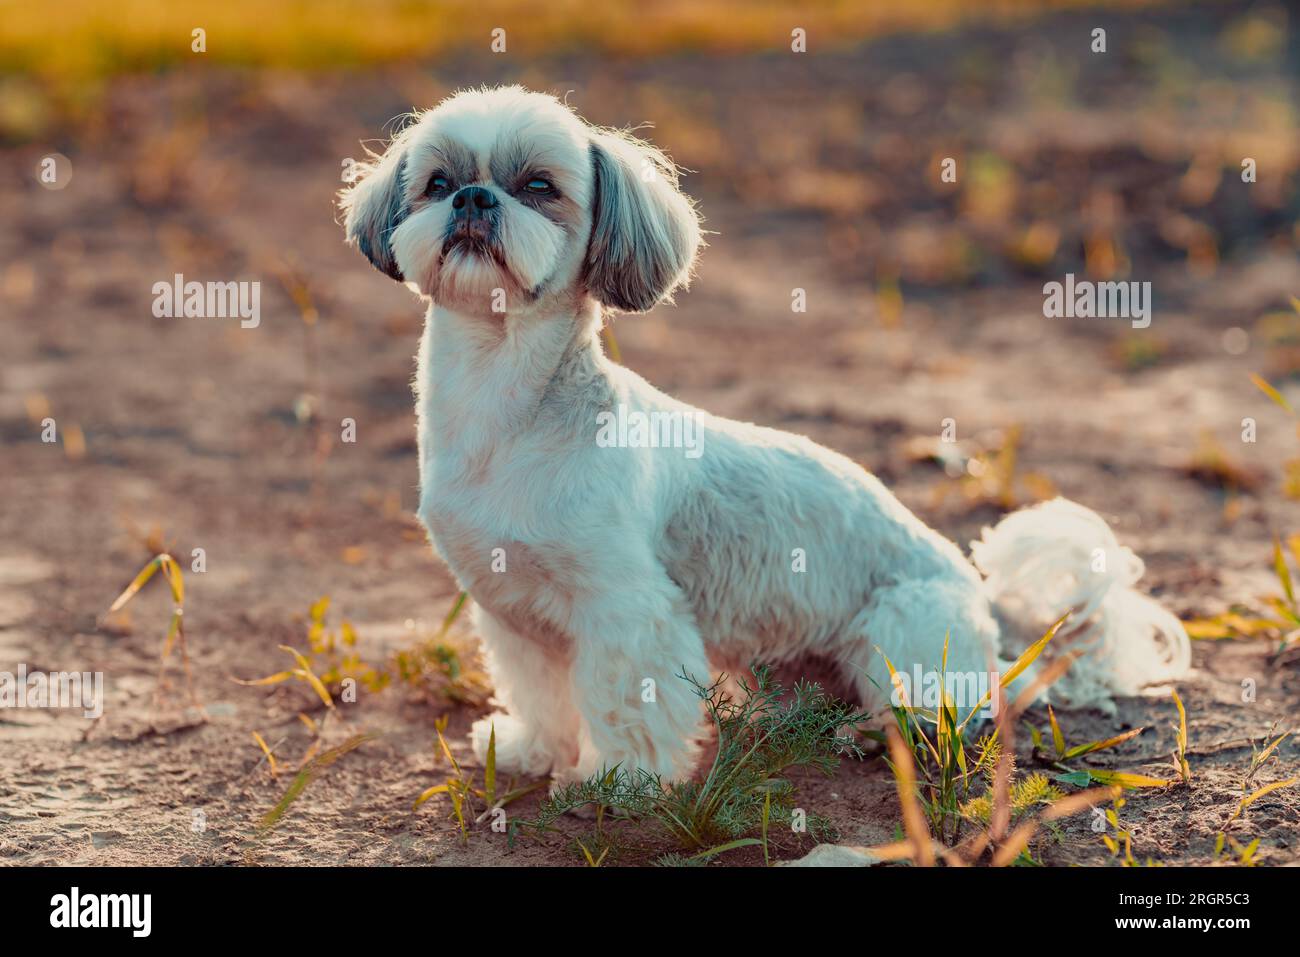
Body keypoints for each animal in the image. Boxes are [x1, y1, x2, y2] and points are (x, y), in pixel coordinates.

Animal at [340, 83, 1190, 785]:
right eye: (438, 182)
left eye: (539, 187)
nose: (474, 198)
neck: (505, 405)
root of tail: (988, 612)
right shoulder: (511, 608)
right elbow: (543, 693)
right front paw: (532, 751)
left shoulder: (627, 608)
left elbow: (626, 699)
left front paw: (622, 780)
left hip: (903, 628)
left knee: (948, 709)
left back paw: (872, 731)